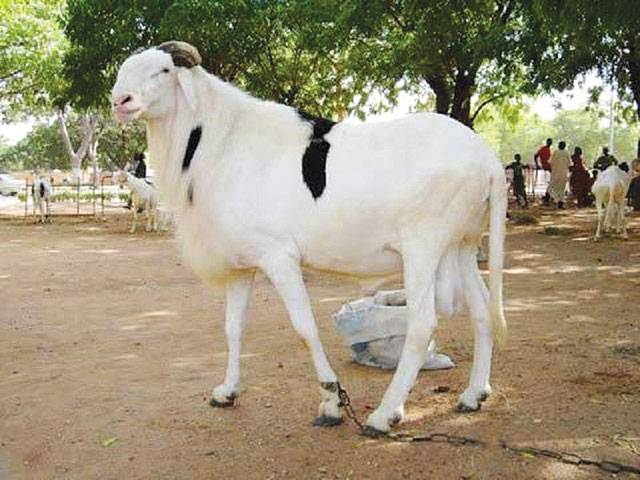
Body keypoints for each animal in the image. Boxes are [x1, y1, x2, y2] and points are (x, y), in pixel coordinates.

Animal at [112, 41, 508, 436]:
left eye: (163, 70)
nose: (120, 100)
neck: (224, 141)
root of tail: (486, 159)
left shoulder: (278, 257)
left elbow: (305, 328)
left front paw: (332, 401)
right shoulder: (243, 265)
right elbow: (233, 328)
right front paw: (227, 391)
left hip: (423, 246)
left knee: (422, 325)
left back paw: (384, 414)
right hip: (462, 243)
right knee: (482, 311)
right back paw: (474, 395)